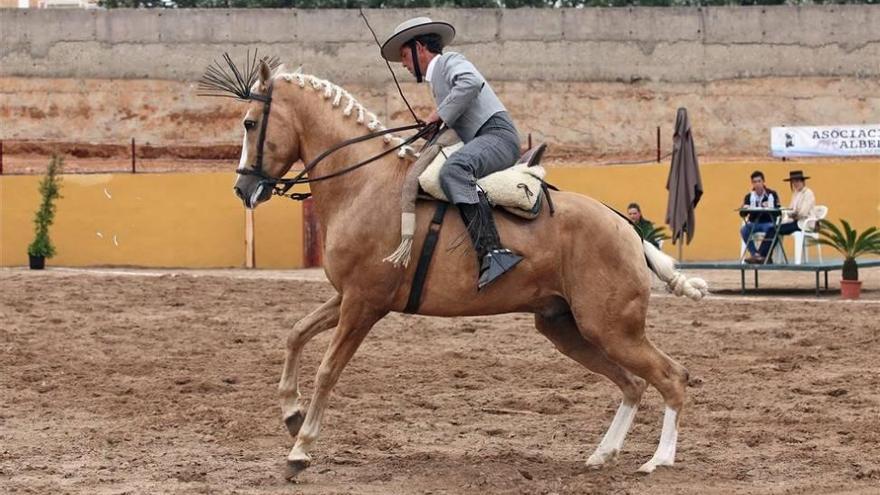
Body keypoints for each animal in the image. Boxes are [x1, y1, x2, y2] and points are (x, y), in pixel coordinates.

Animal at [229, 61, 708, 480]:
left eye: (251, 123)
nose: (242, 188)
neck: (364, 186)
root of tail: (625, 226)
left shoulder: (363, 306)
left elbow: (328, 369)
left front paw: (301, 449)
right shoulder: (347, 297)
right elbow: (296, 334)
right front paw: (291, 413)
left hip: (610, 329)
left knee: (672, 377)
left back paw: (658, 460)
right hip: (568, 330)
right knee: (633, 384)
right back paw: (603, 453)